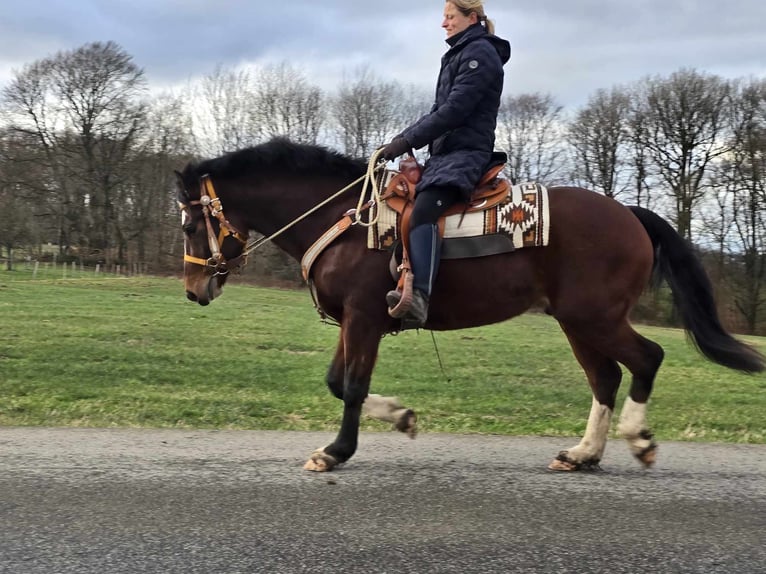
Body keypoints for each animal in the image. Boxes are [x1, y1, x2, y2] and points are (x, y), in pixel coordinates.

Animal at [176, 138, 766, 472]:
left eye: (187, 223)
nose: (193, 289)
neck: (347, 220)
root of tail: (628, 213)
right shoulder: (352, 322)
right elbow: (338, 382)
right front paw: (402, 417)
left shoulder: (364, 318)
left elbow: (353, 387)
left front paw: (336, 452)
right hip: (578, 321)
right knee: (606, 377)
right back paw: (583, 455)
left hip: (594, 316)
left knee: (646, 359)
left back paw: (638, 441)